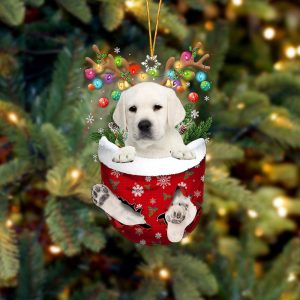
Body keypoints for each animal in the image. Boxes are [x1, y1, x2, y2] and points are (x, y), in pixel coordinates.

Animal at [92, 81, 198, 241]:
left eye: (157, 107)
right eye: (132, 109)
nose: (144, 124)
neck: (151, 148)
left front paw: (182, 150)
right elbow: (128, 146)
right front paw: (124, 152)